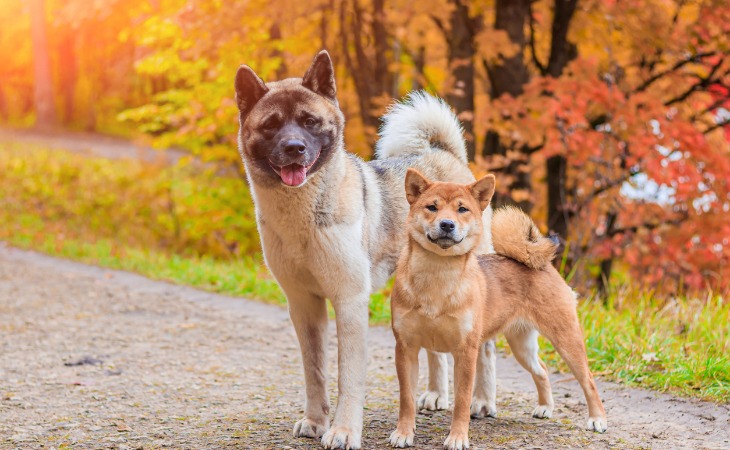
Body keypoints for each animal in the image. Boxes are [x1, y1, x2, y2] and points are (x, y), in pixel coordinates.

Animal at [236, 51, 492, 448]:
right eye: (271, 125)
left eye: (310, 122)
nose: (294, 148)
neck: (303, 215)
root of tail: (442, 154)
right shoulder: (303, 305)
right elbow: (315, 371)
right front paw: (316, 421)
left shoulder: (350, 301)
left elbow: (348, 376)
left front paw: (343, 431)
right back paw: (436, 394)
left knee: (486, 348)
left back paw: (481, 401)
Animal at [390, 171, 604, 448]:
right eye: (432, 207)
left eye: (462, 209)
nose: (447, 224)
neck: (436, 278)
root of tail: (540, 264)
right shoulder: (406, 348)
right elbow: (406, 399)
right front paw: (404, 433)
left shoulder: (466, 352)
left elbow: (462, 402)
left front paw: (457, 437)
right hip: (522, 346)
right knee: (542, 370)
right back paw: (545, 407)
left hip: (566, 341)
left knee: (588, 379)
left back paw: (597, 419)